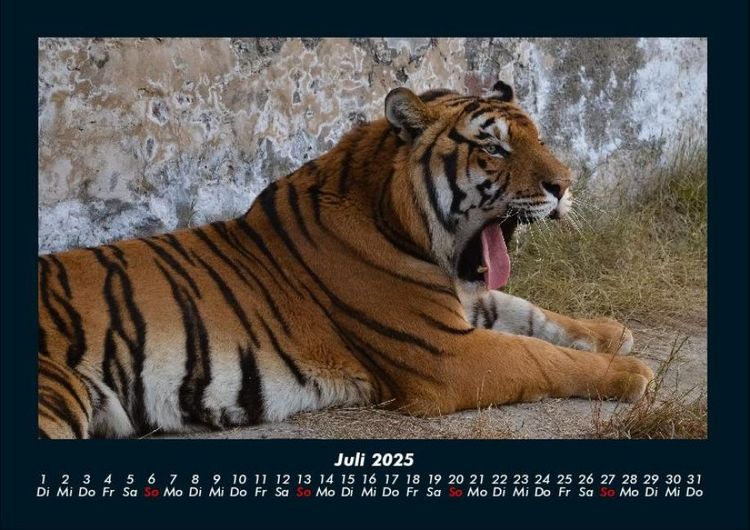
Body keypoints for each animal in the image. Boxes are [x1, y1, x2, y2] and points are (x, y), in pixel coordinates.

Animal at [38, 81, 654, 439]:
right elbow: (537, 355)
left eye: (540, 138)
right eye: (494, 148)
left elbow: (529, 311)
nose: (564, 186)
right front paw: (630, 372)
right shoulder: (447, 354)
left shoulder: (463, 304)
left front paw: (611, 332)